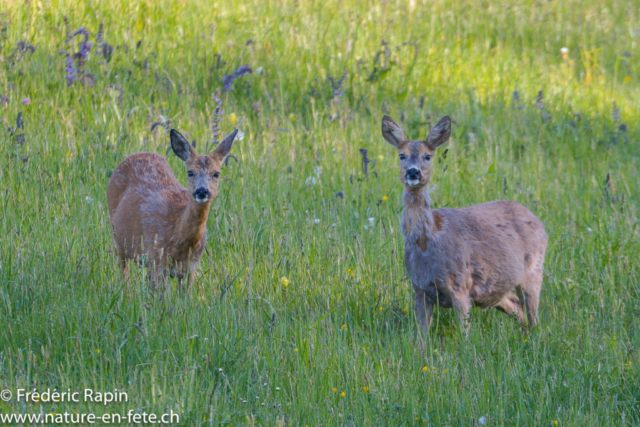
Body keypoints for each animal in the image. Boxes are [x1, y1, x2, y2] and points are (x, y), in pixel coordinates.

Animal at [107, 128, 238, 294]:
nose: (202, 191)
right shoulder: (157, 259)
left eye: (216, 173)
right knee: (123, 271)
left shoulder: (190, 268)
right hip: (116, 237)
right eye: (190, 172)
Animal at [382, 114, 548, 342]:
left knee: (533, 317)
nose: (413, 172)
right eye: (402, 155)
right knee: (516, 306)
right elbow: (421, 336)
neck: (428, 240)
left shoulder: (460, 284)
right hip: (496, 288)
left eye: (427, 156)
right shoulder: (420, 289)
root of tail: (540, 223)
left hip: (533, 271)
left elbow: (465, 337)